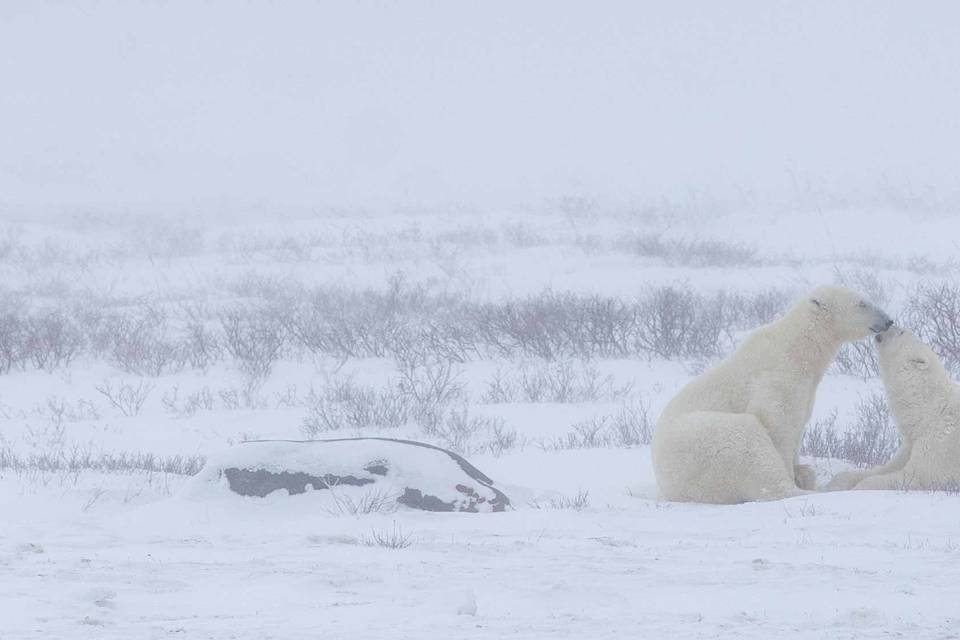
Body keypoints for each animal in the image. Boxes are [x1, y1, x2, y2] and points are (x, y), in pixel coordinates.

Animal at [652, 286, 892, 504]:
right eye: (862, 303)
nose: (888, 320)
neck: (798, 350)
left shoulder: (807, 391)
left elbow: (799, 426)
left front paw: (799, 469)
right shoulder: (777, 380)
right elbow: (778, 424)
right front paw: (795, 475)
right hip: (702, 448)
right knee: (748, 442)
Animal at [824, 328, 960, 492]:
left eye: (902, 332)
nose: (888, 326)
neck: (928, 411)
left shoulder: (939, 443)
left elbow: (917, 475)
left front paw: (857, 488)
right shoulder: (909, 444)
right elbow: (886, 467)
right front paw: (834, 484)